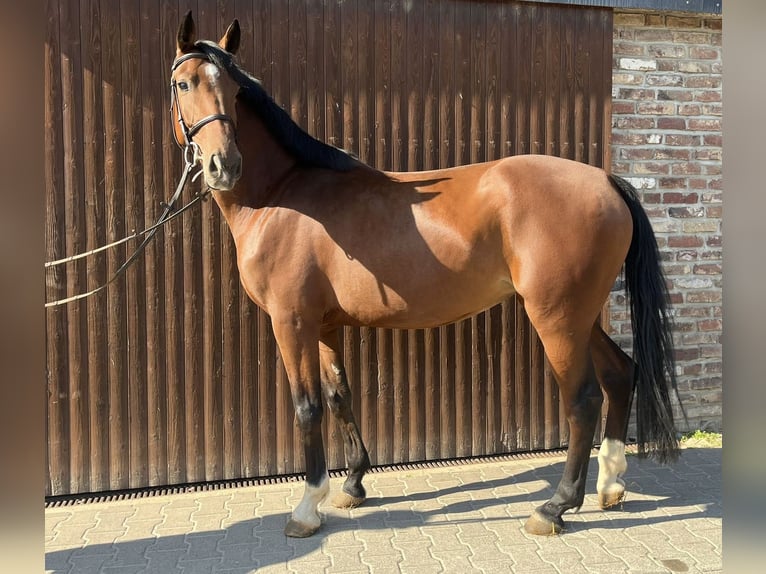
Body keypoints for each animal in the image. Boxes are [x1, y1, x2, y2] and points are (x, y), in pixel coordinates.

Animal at [171, 13, 680, 540]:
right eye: (183, 84)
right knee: (620, 374)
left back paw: (555, 506)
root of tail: (606, 181)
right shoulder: (323, 325)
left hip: (556, 317)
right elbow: (339, 397)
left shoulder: (291, 322)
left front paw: (308, 507)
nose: (223, 165)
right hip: (579, 315)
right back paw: (610, 485)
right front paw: (352, 484)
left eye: (234, 91)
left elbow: (307, 406)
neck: (281, 195)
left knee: (583, 399)